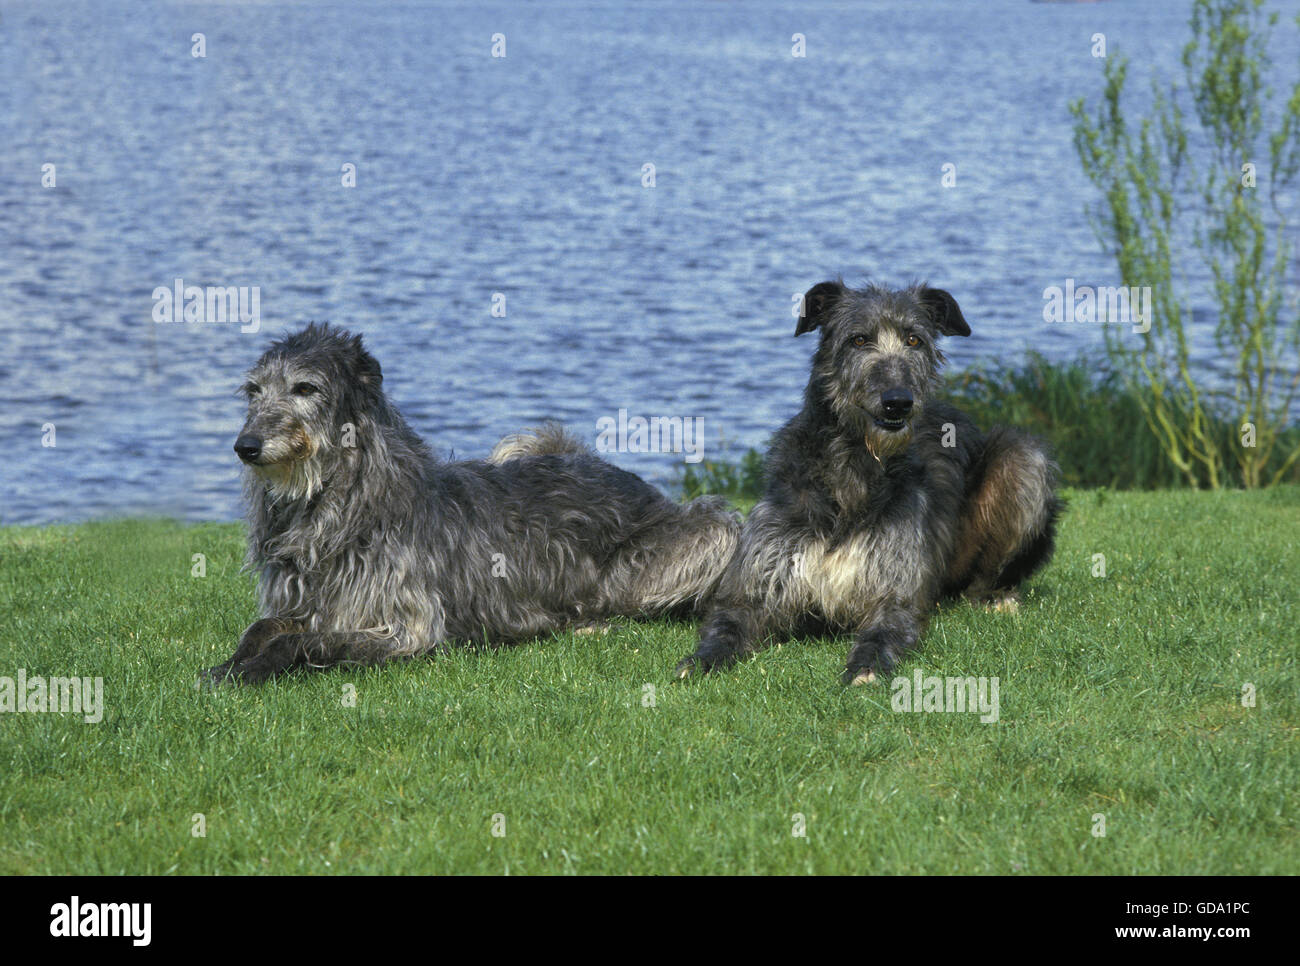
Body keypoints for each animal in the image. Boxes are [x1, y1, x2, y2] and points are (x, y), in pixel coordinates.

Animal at [676, 279, 1060, 686]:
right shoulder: (758, 577)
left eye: (914, 340)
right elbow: (727, 622)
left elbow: (884, 629)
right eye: (858, 340)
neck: (852, 468)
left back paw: (997, 597)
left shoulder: (895, 590)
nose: (898, 402)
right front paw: (702, 659)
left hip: (1022, 458)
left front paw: (866, 665)